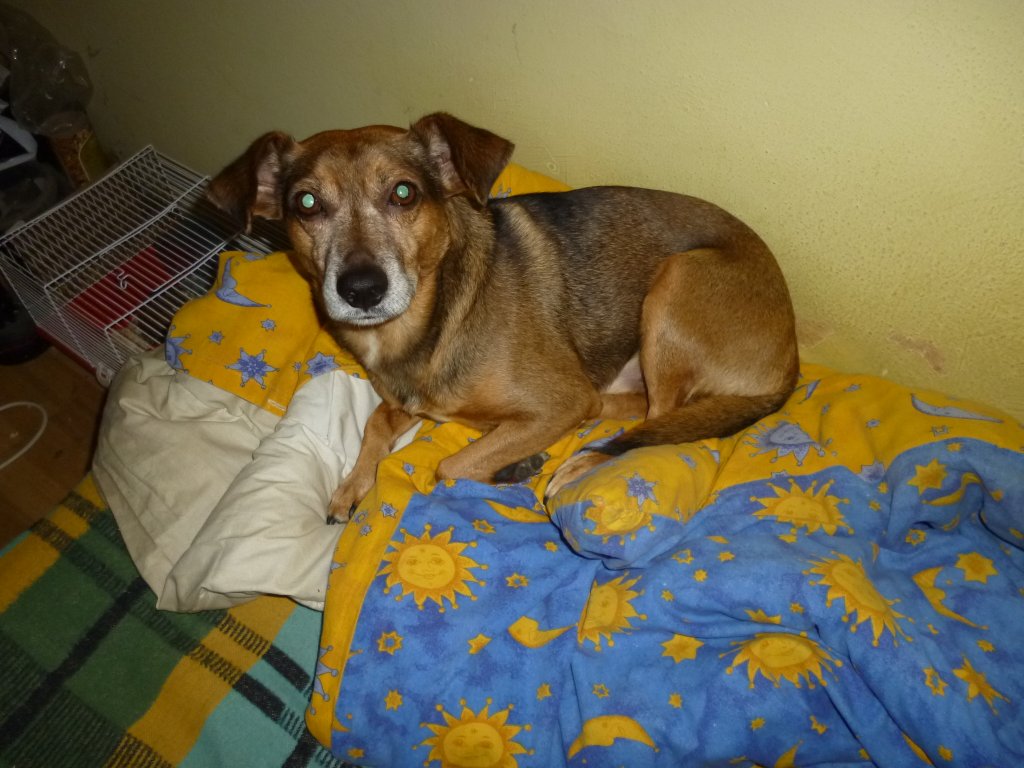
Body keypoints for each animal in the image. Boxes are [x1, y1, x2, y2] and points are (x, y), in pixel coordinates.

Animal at [208, 112, 799, 519]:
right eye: (306, 204)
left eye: (404, 193)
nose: (361, 290)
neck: (429, 322)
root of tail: (791, 360)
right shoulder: (406, 399)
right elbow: (376, 422)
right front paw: (353, 486)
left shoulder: (556, 400)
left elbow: (448, 467)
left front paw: (506, 465)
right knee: (638, 410)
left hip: (677, 279)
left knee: (656, 421)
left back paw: (566, 461)